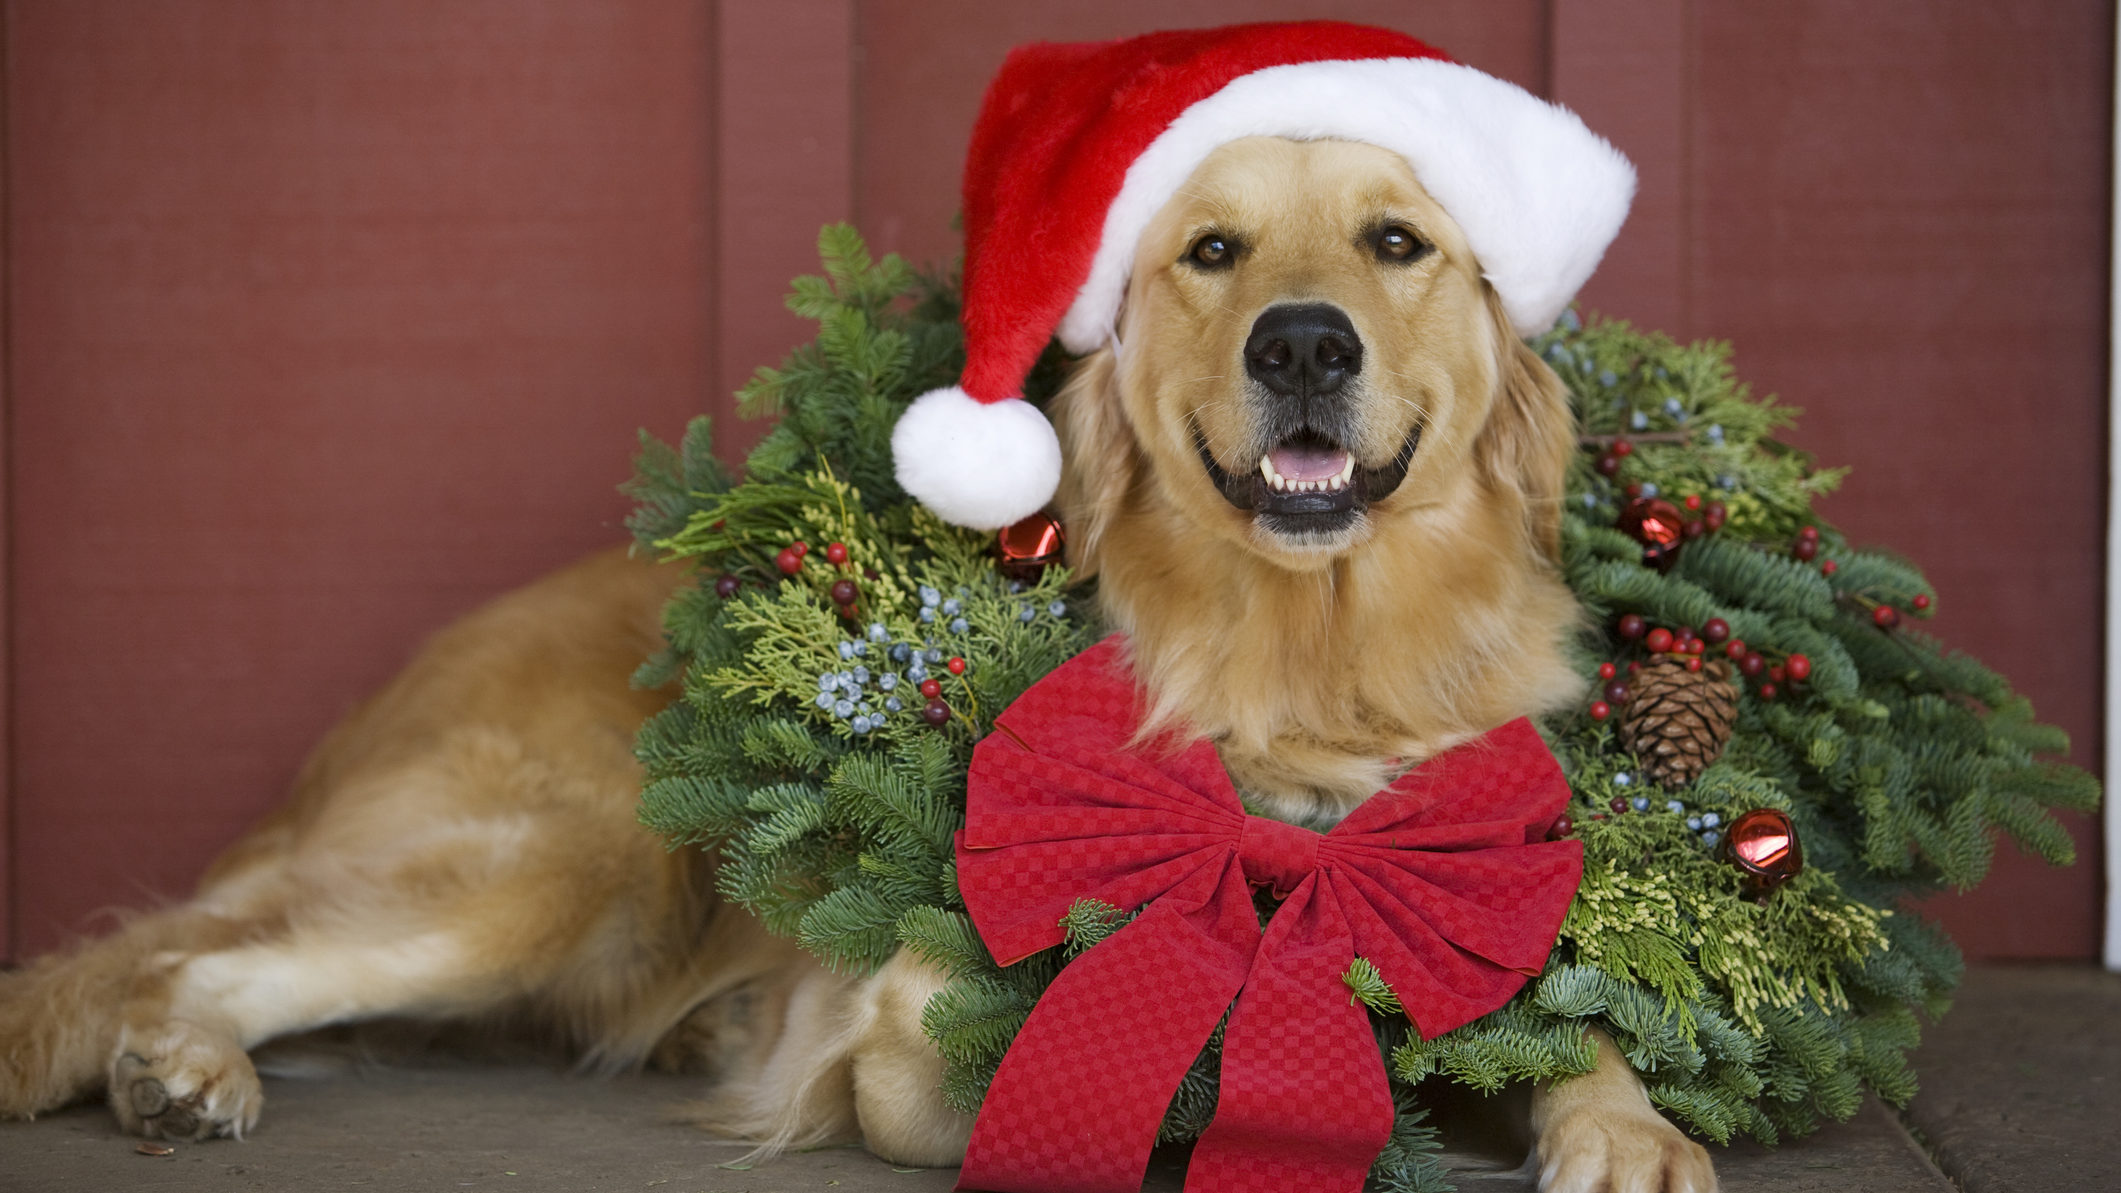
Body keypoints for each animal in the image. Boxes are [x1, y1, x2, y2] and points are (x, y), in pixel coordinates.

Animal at [0, 134, 1713, 1180]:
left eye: (1397, 242)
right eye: (1212, 249)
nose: (1301, 341)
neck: (1304, 664)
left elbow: (1571, 1023)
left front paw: (1625, 1128)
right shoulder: (886, 1041)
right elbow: (950, 1061)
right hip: (569, 861)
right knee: (188, 954)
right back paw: (183, 1063)